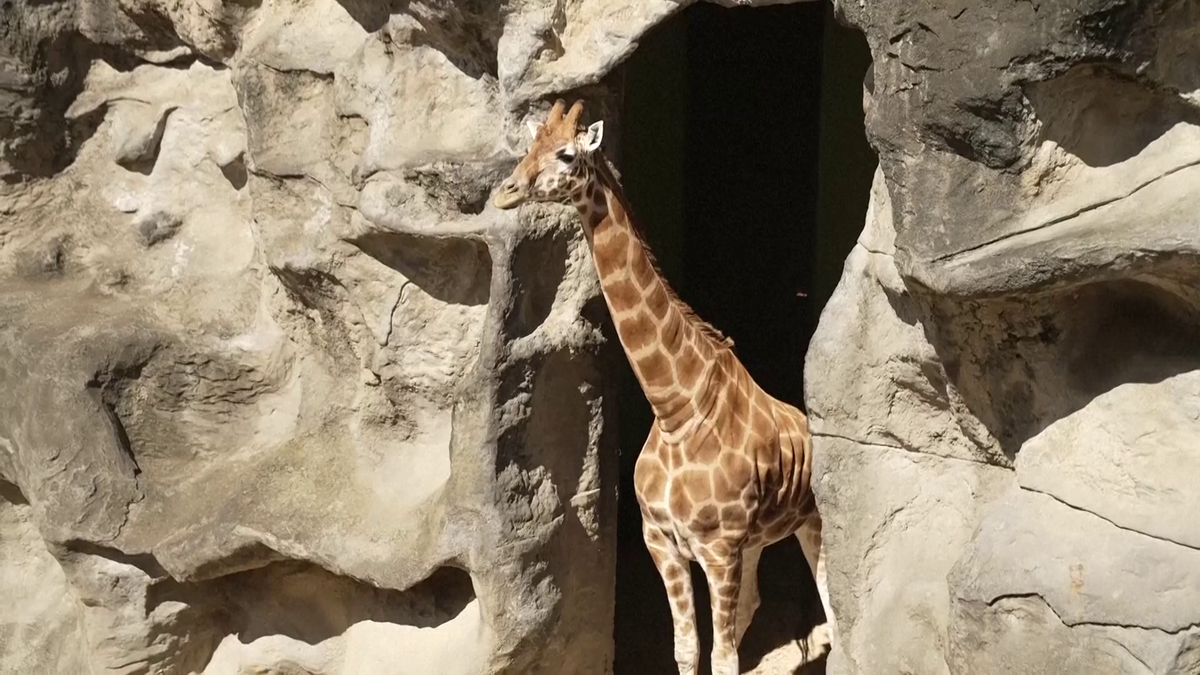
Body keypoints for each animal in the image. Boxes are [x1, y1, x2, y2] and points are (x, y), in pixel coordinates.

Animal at [493, 99, 835, 675]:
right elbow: (688, 648)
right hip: (759, 541)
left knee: (834, 611)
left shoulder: (718, 549)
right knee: (760, 609)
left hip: (813, 523)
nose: (505, 192)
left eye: (566, 154)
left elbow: (722, 657)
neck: (679, 410)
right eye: (529, 146)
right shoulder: (663, 542)